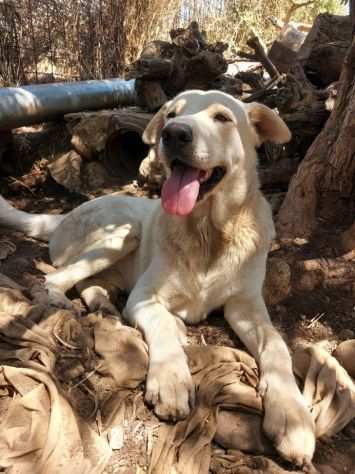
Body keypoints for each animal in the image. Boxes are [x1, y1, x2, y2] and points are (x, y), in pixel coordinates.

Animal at [0, 90, 318, 464]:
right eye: (171, 114)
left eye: (222, 117)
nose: (174, 134)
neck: (208, 234)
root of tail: (63, 216)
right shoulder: (144, 297)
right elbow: (161, 324)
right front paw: (170, 380)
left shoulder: (246, 306)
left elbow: (277, 345)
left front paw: (292, 416)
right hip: (124, 232)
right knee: (56, 279)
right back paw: (60, 301)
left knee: (90, 284)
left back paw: (105, 307)